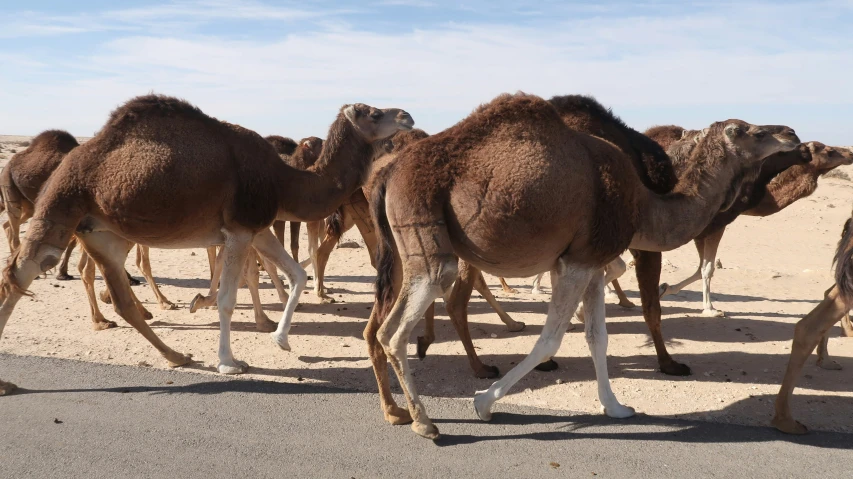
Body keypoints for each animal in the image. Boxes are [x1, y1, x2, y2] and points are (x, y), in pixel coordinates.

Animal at [0, 95, 412, 396]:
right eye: (375, 113)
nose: (406, 115)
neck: (283, 179)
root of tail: (72, 158)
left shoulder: (256, 227)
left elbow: (296, 275)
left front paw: (280, 339)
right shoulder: (240, 228)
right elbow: (229, 299)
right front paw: (229, 361)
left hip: (101, 231)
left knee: (118, 297)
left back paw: (176, 354)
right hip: (62, 203)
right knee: (22, 271)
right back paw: (6, 382)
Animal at [366, 92, 800, 440]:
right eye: (747, 130)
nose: (791, 134)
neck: (644, 203)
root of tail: (389, 173)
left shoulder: (593, 261)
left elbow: (598, 338)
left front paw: (616, 407)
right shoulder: (575, 263)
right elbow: (549, 340)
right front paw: (484, 403)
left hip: (406, 248)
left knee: (384, 325)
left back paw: (405, 410)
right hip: (424, 231)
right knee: (396, 327)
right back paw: (424, 422)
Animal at [660, 142, 852, 322]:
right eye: (829, 151)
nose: (850, 153)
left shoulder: (703, 230)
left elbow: (701, 267)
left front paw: (665, 288)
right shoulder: (713, 226)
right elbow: (707, 269)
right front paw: (710, 309)